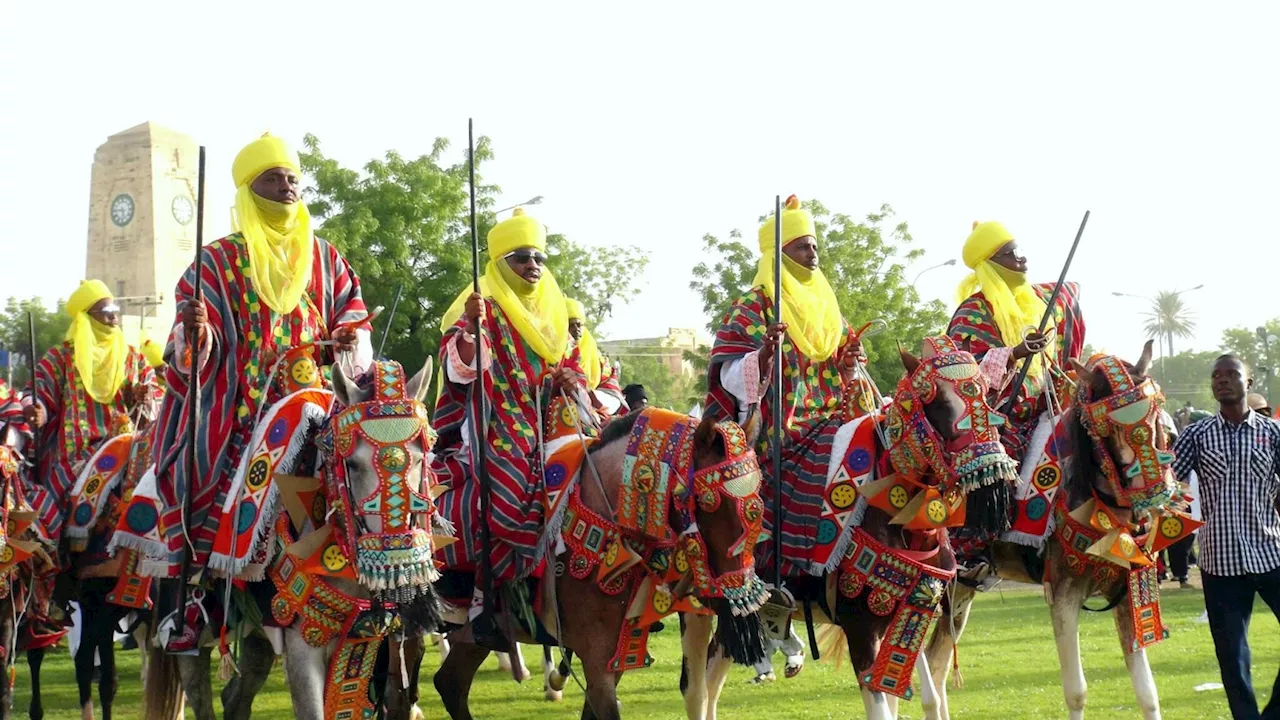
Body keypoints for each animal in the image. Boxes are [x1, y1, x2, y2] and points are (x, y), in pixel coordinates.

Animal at [427, 399, 768, 712]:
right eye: (707, 502)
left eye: (758, 503)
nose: (742, 600)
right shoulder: (596, 658)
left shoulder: (615, 657)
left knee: (450, 683)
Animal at [680, 335, 1018, 717]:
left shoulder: (910, 611)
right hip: (696, 608)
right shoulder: (861, 629)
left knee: (712, 680)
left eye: (987, 395)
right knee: (696, 688)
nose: (994, 474)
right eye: (937, 400)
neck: (897, 516)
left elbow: (924, 698)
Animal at [921, 343, 1187, 717]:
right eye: (1106, 428)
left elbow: (1147, 693)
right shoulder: (1063, 592)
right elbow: (1077, 692)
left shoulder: (1124, 593)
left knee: (937, 663)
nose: (1153, 490)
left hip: (961, 589)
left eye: (1156, 413)